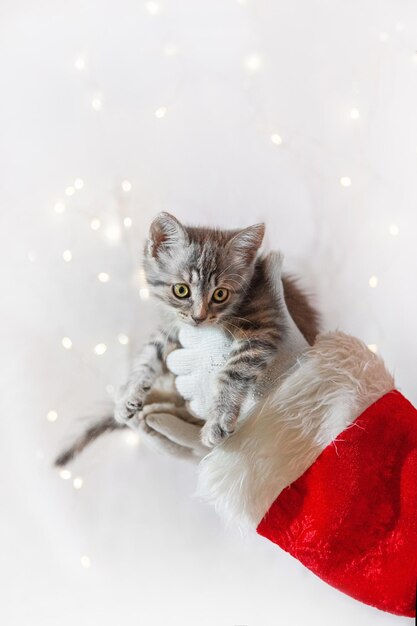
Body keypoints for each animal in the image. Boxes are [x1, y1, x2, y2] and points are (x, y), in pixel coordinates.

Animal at [53, 212, 316, 460]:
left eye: (220, 294)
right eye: (181, 290)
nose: (199, 317)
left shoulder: (264, 323)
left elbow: (233, 371)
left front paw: (218, 418)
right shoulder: (174, 327)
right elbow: (149, 354)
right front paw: (130, 393)